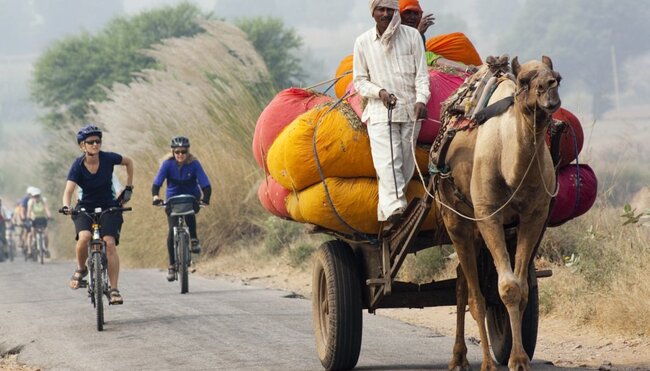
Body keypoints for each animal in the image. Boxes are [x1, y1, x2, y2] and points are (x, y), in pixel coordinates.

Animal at [436, 56, 560, 371]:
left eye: (558, 76)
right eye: (525, 81)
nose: (551, 91)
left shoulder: (534, 216)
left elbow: (522, 289)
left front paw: (519, 358)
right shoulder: (488, 214)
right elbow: (505, 288)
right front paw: (502, 362)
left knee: (461, 283)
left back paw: (459, 357)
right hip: (455, 218)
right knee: (473, 294)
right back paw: (477, 361)